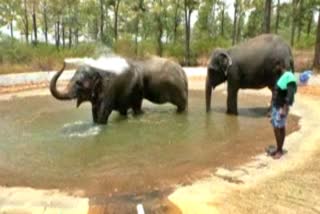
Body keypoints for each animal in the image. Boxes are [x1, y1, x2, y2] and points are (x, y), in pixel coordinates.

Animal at [50, 56, 188, 124]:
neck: (98, 69)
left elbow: (103, 113)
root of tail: (183, 71)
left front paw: (100, 125)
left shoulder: (109, 89)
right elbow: (95, 112)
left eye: (78, 83)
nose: (64, 62)